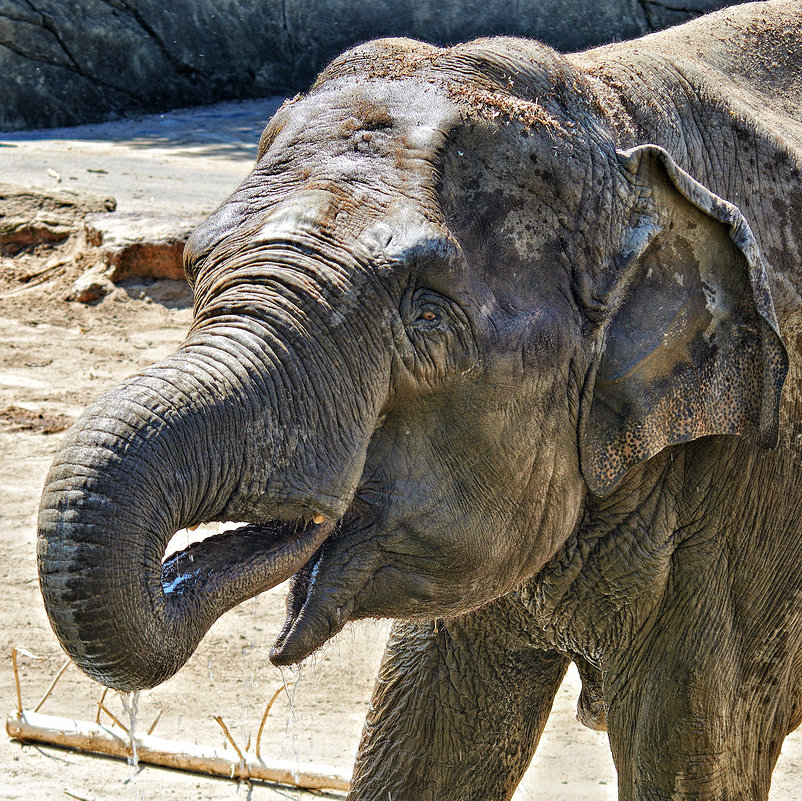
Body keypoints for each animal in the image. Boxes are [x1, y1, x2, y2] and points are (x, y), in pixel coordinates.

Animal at [37, 0, 800, 796]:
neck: (610, 114)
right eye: (194, 267)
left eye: (427, 315)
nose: (180, 568)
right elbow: (427, 730)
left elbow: (696, 744)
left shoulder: (756, 488)